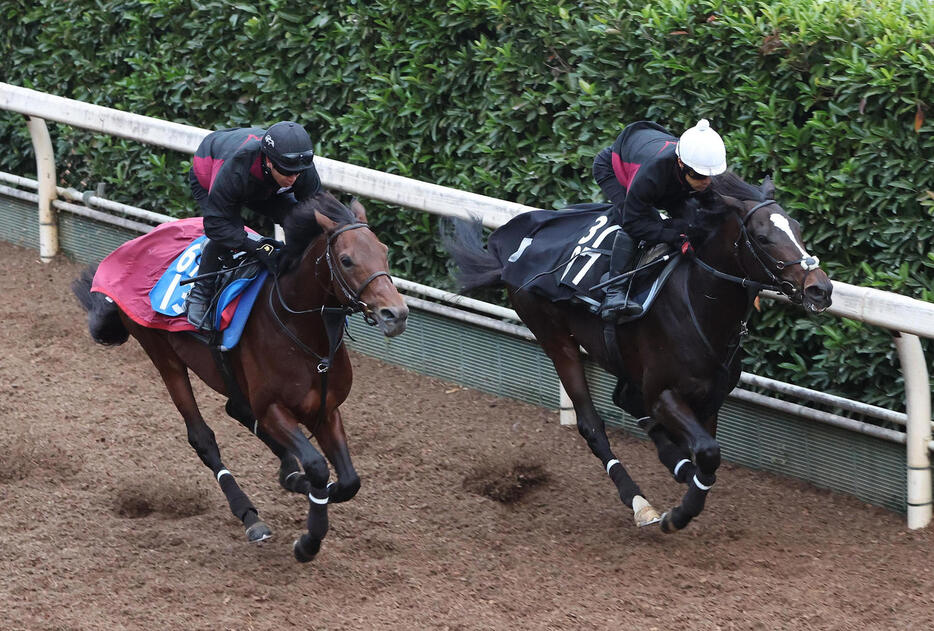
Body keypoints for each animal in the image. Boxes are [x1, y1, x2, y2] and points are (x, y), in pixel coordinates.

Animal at [73, 193, 410, 564]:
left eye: (384, 251)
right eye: (347, 260)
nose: (396, 314)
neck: (301, 332)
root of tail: (130, 247)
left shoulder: (325, 409)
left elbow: (349, 482)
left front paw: (310, 486)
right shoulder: (274, 408)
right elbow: (317, 467)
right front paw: (308, 541)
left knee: (237, 409)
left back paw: (289, 474)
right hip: (162, 354)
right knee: (202, 437)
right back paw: (250, 515)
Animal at [446, 173, 832, 532]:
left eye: (798, 229)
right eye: (763, 238)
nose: (821, 289)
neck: (698, 304)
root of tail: (515, 250)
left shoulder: (710, 398)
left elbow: (707, 457)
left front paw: (685, 479)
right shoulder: (664, 392)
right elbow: (708, 452)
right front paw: (678, 515)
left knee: (626, 399)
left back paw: (675, 464)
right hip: (555, 339)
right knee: (592, 424)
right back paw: (639, 502)